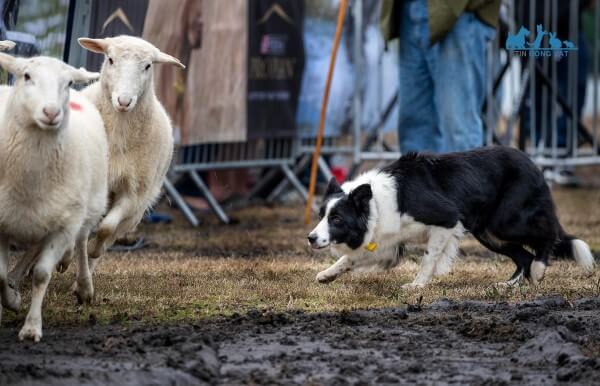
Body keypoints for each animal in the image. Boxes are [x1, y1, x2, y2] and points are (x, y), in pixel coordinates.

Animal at [0, 53, 108, 340]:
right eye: (26, 76)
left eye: (68, 82)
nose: (51, 112)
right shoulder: (3, 223)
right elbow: (0, 274)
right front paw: (12, 299)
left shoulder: (63, 225)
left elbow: (41, 274)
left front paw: (31, 327)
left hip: (85, 207)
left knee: (81, 242)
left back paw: (84, 287)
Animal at [73, 34, 183, 276]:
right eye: (110, 59)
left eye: (148, 66)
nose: (124, 101)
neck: (118, 135)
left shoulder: (133, 194)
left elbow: (106, 228)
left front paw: (94, 249)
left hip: (135, 210)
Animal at [310, 146, 596, 288]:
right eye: (322, 215)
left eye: (337, 219)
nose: (311, 238)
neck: (375, 204)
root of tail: (533, 163)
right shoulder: (387, 242)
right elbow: (350, 258)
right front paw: (327, 274)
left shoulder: (446, 220)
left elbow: (429, 258)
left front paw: (417, 286)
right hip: (488, 233)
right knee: (523, 256)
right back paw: (508, 285)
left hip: (506, 222)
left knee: (548, 234)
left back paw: (538, 269)